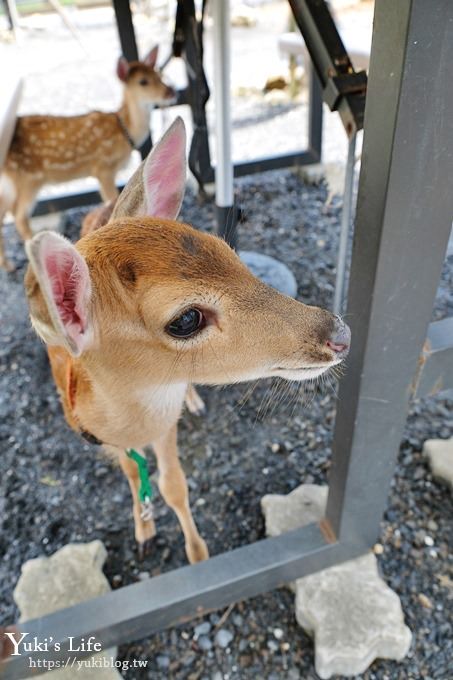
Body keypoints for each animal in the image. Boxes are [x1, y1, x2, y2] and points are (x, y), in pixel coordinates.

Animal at [0, 45, 174, 270]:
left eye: (159, 74)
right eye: (143, 81)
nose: (171, 92)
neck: (125, 131)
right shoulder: (103, 168)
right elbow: (110, 198)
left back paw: (9, 264)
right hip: (28, 179)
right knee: (19, 216)